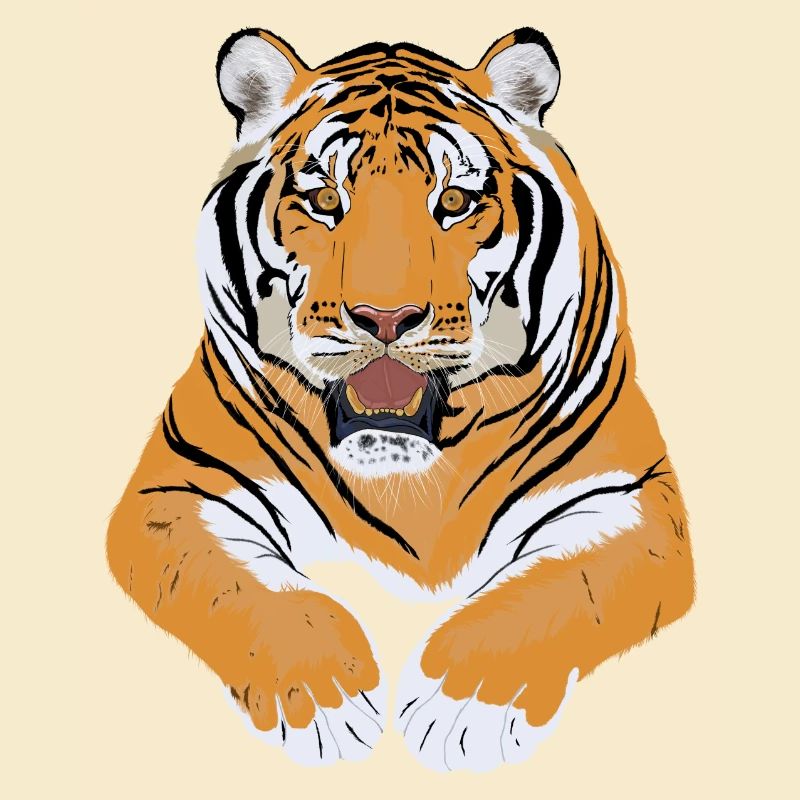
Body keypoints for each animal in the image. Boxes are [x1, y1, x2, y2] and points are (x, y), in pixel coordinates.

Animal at [106, 27, 695, 771]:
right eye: (325, 201)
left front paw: (462, 708)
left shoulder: (626, 496)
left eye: (455, 203)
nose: (385, 319)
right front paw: (323, 700)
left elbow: (558, 587)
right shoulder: (183, 489)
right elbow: (249, 589)